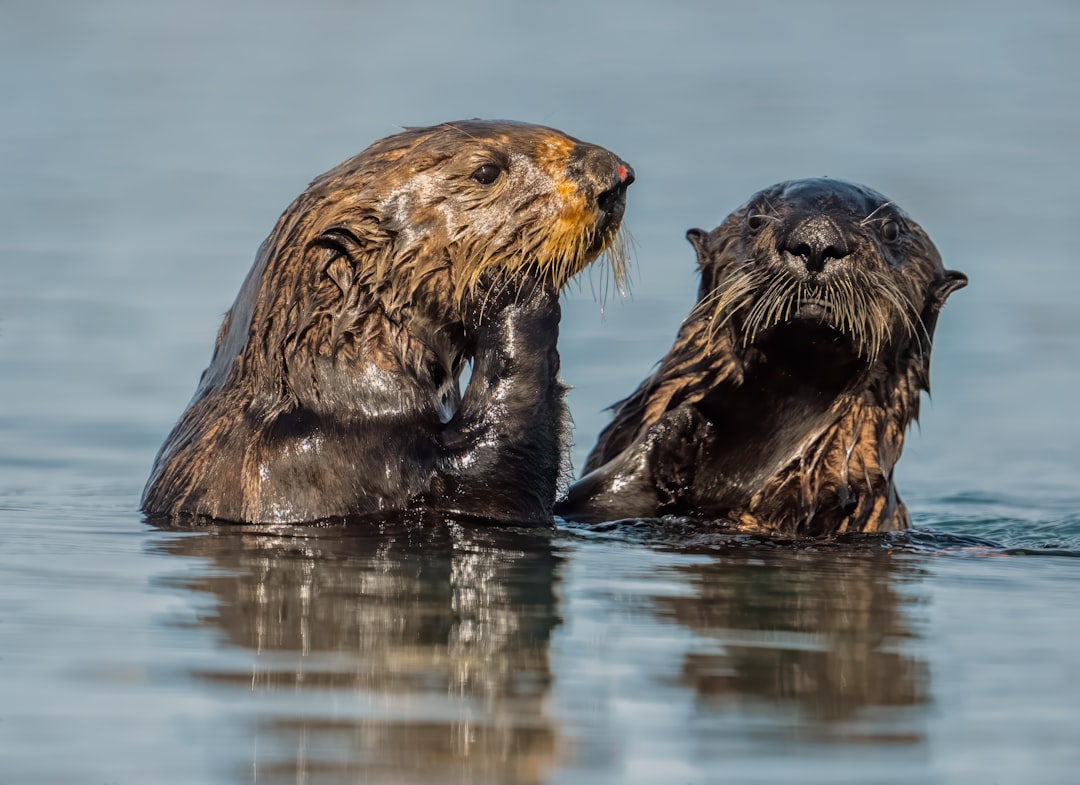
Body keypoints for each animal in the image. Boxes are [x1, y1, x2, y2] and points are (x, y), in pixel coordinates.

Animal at [143, 120, 633, 525]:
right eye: (486, 172)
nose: (616, 173)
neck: (327, 386)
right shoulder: (328, 461)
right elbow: (497, 479)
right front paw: (516, 289)